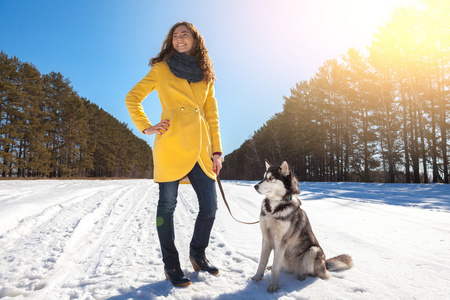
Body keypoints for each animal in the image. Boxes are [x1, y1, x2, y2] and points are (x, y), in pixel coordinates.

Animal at [251, 161, 354, 292]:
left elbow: (276, 269)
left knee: (315, 274)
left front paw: (273, 287)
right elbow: (262, 262)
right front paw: (257, 278)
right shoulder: (266, 238)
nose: (255, 186)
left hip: (313, 251)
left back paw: (303, 277)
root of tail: (325, 263)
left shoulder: (281, 241)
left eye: (271, 178)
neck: (273, 210)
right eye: (264, 177)